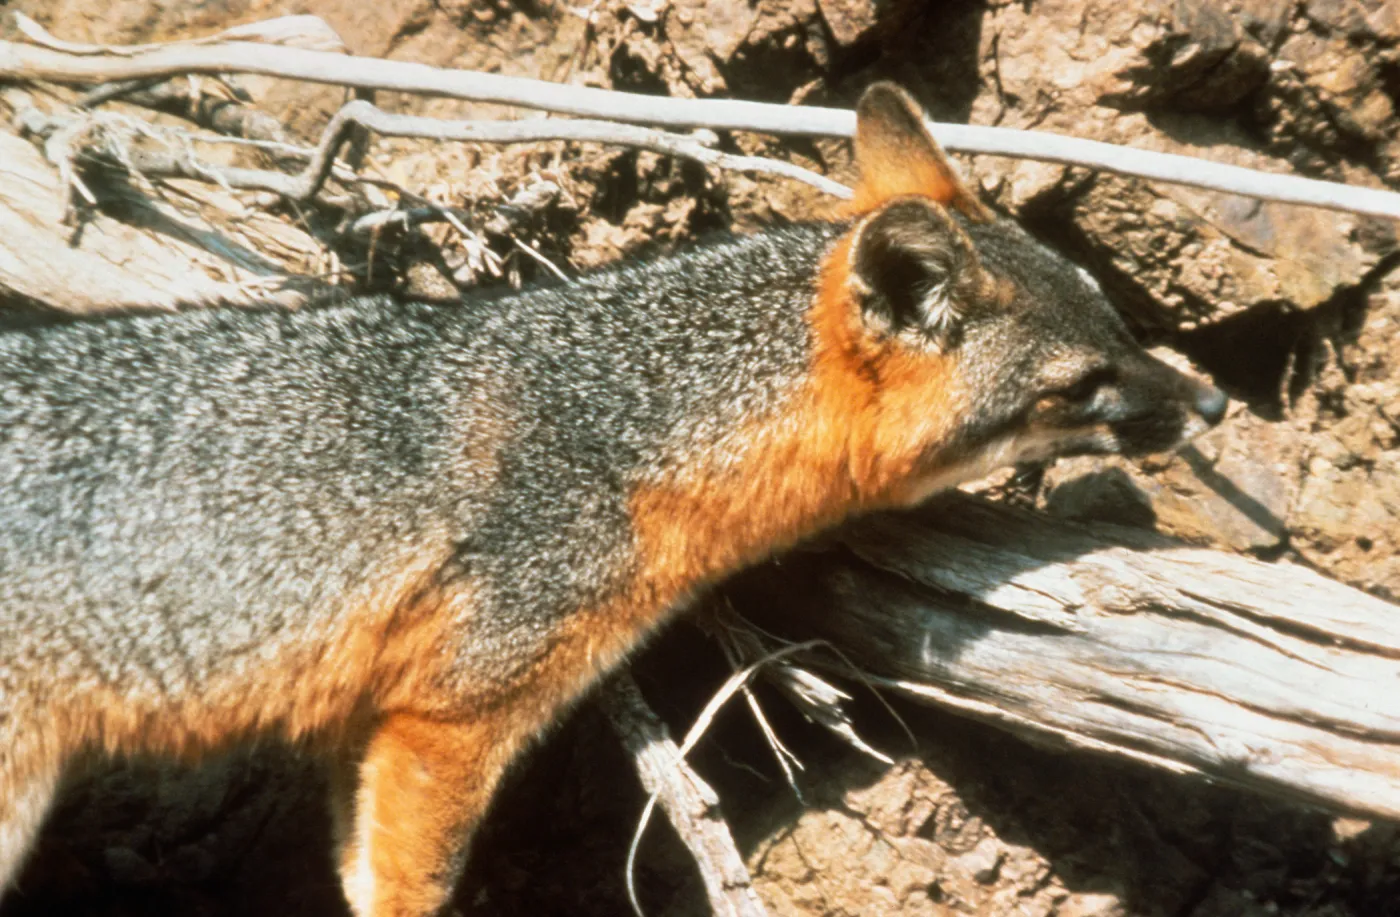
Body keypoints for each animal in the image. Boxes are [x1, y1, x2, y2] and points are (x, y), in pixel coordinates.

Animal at [0, 82, 1226, 916]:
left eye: (1118, 318)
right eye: (1082, 382)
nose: (1213, 400)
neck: (616, 424)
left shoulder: (372, 726)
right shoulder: (453, 715)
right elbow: (408, 884)